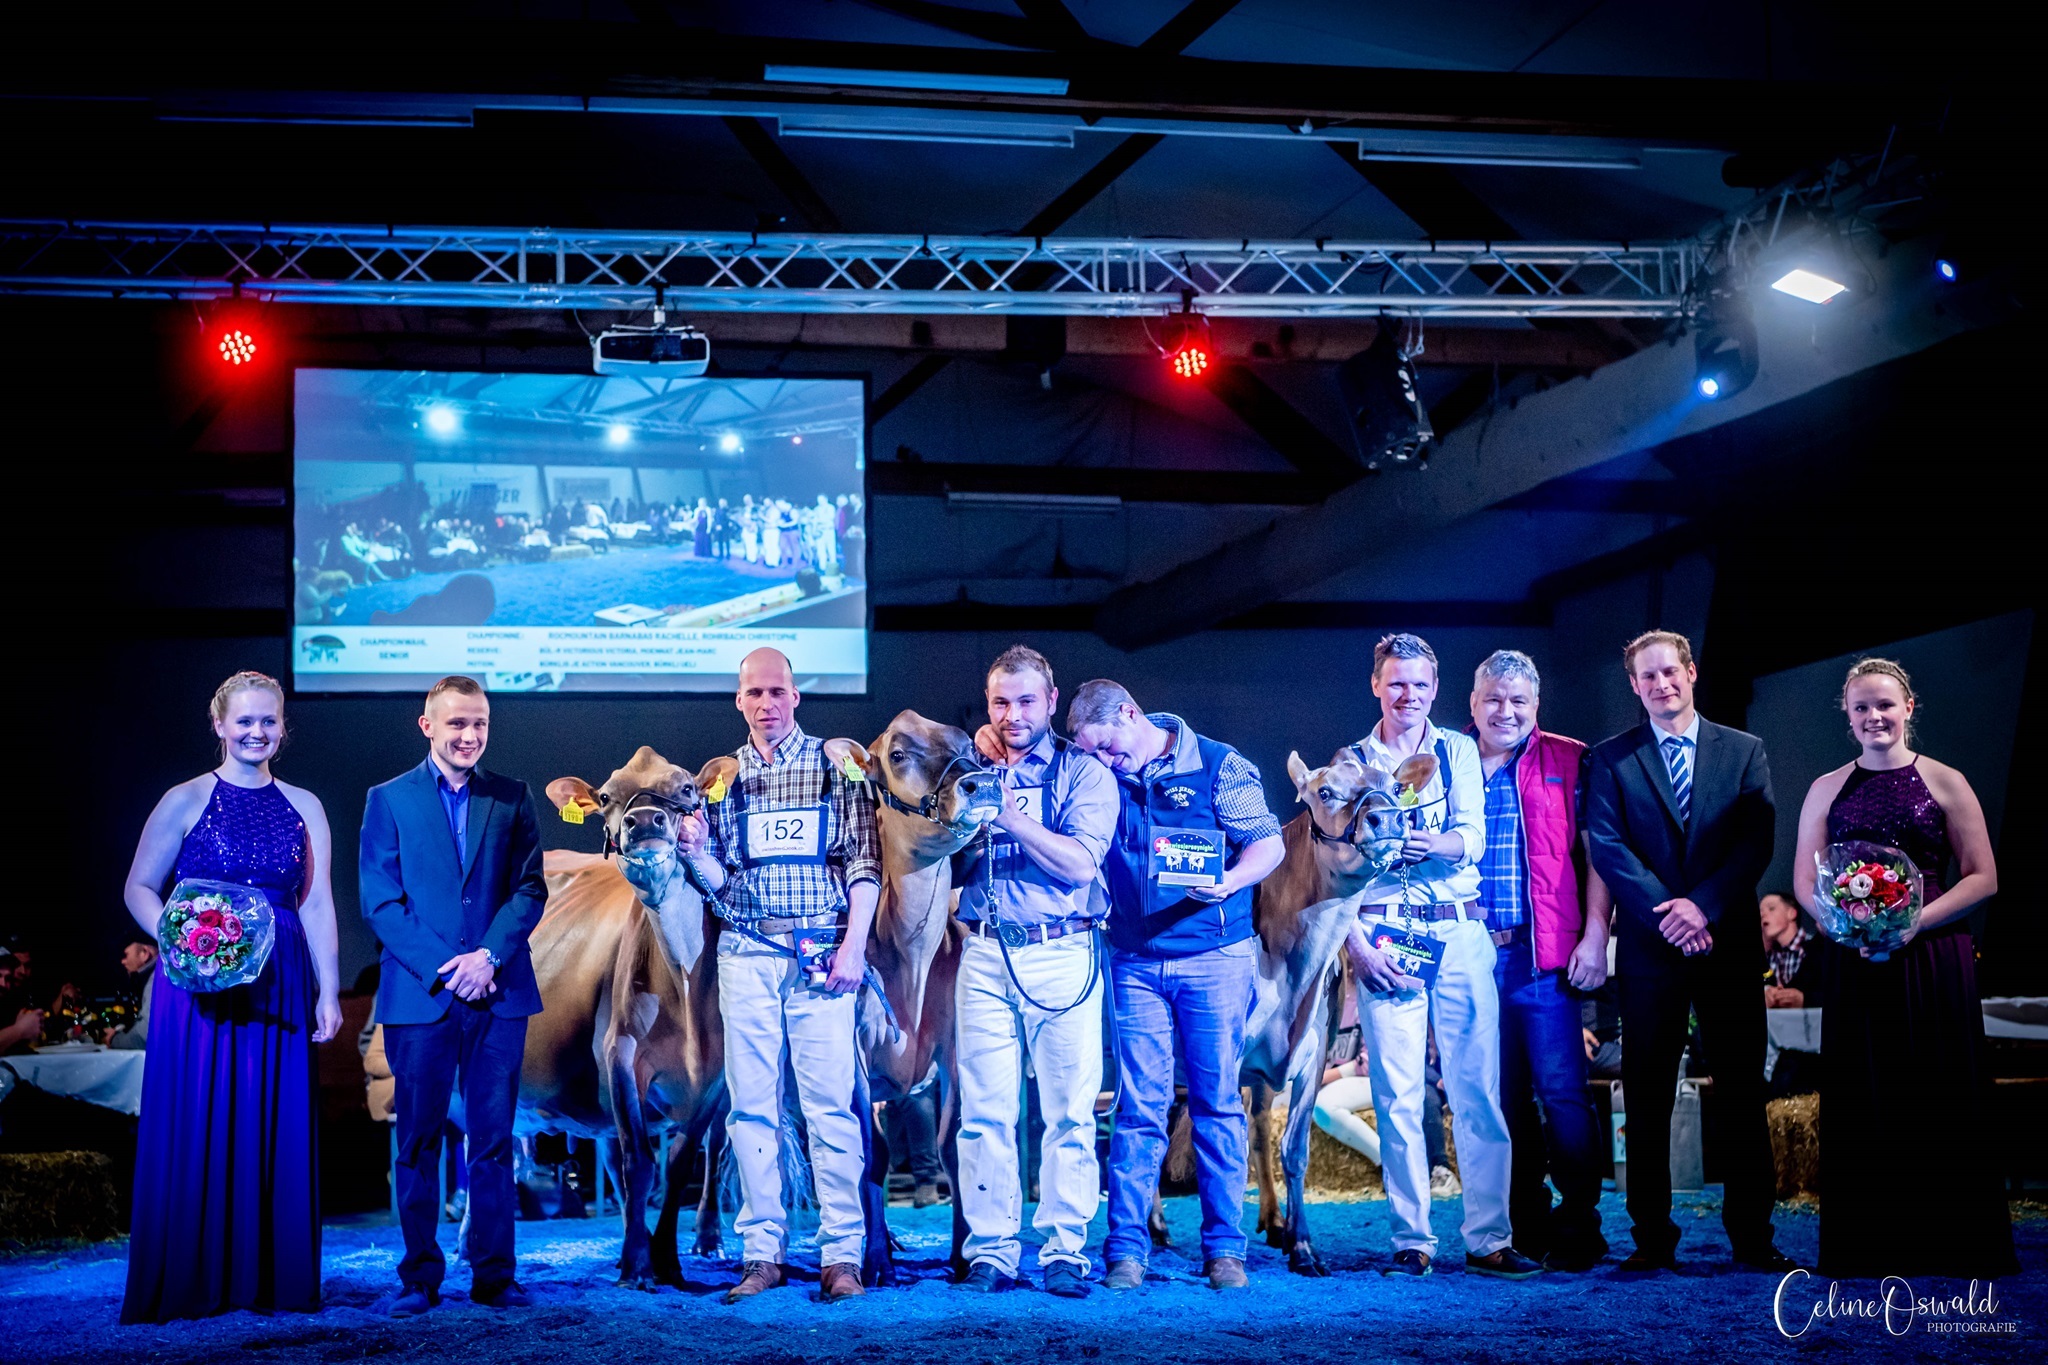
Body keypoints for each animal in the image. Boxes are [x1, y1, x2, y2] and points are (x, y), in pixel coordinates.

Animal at [526, 745, 728, 1289]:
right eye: (605, 798)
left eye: (686, 788)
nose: (644, 821)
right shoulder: (621, 1054)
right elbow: (640, 1162)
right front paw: (639, 1264)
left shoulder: (717, 1079)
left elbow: (681, 1163)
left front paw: (667, 1260)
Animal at [1239, 744, 1437, 1275]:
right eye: (1325, 792)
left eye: (1394, 787)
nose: (1387, 818)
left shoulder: (1312, 1053)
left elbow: (1294, 1150)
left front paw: (1303, 1247)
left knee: (1259, 1128)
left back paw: (1274, 1221)